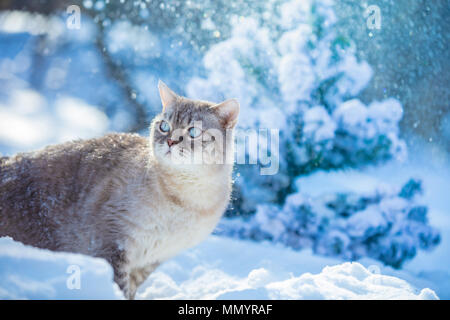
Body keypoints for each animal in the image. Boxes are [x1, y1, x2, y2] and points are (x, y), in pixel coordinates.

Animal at [0, 80, 239, 300]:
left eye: (193, 131)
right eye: (164, 126)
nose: (170, 141)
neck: (185, 200)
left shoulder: (150, 260)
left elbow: (130, 290)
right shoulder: (114, 243)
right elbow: (119, 287)